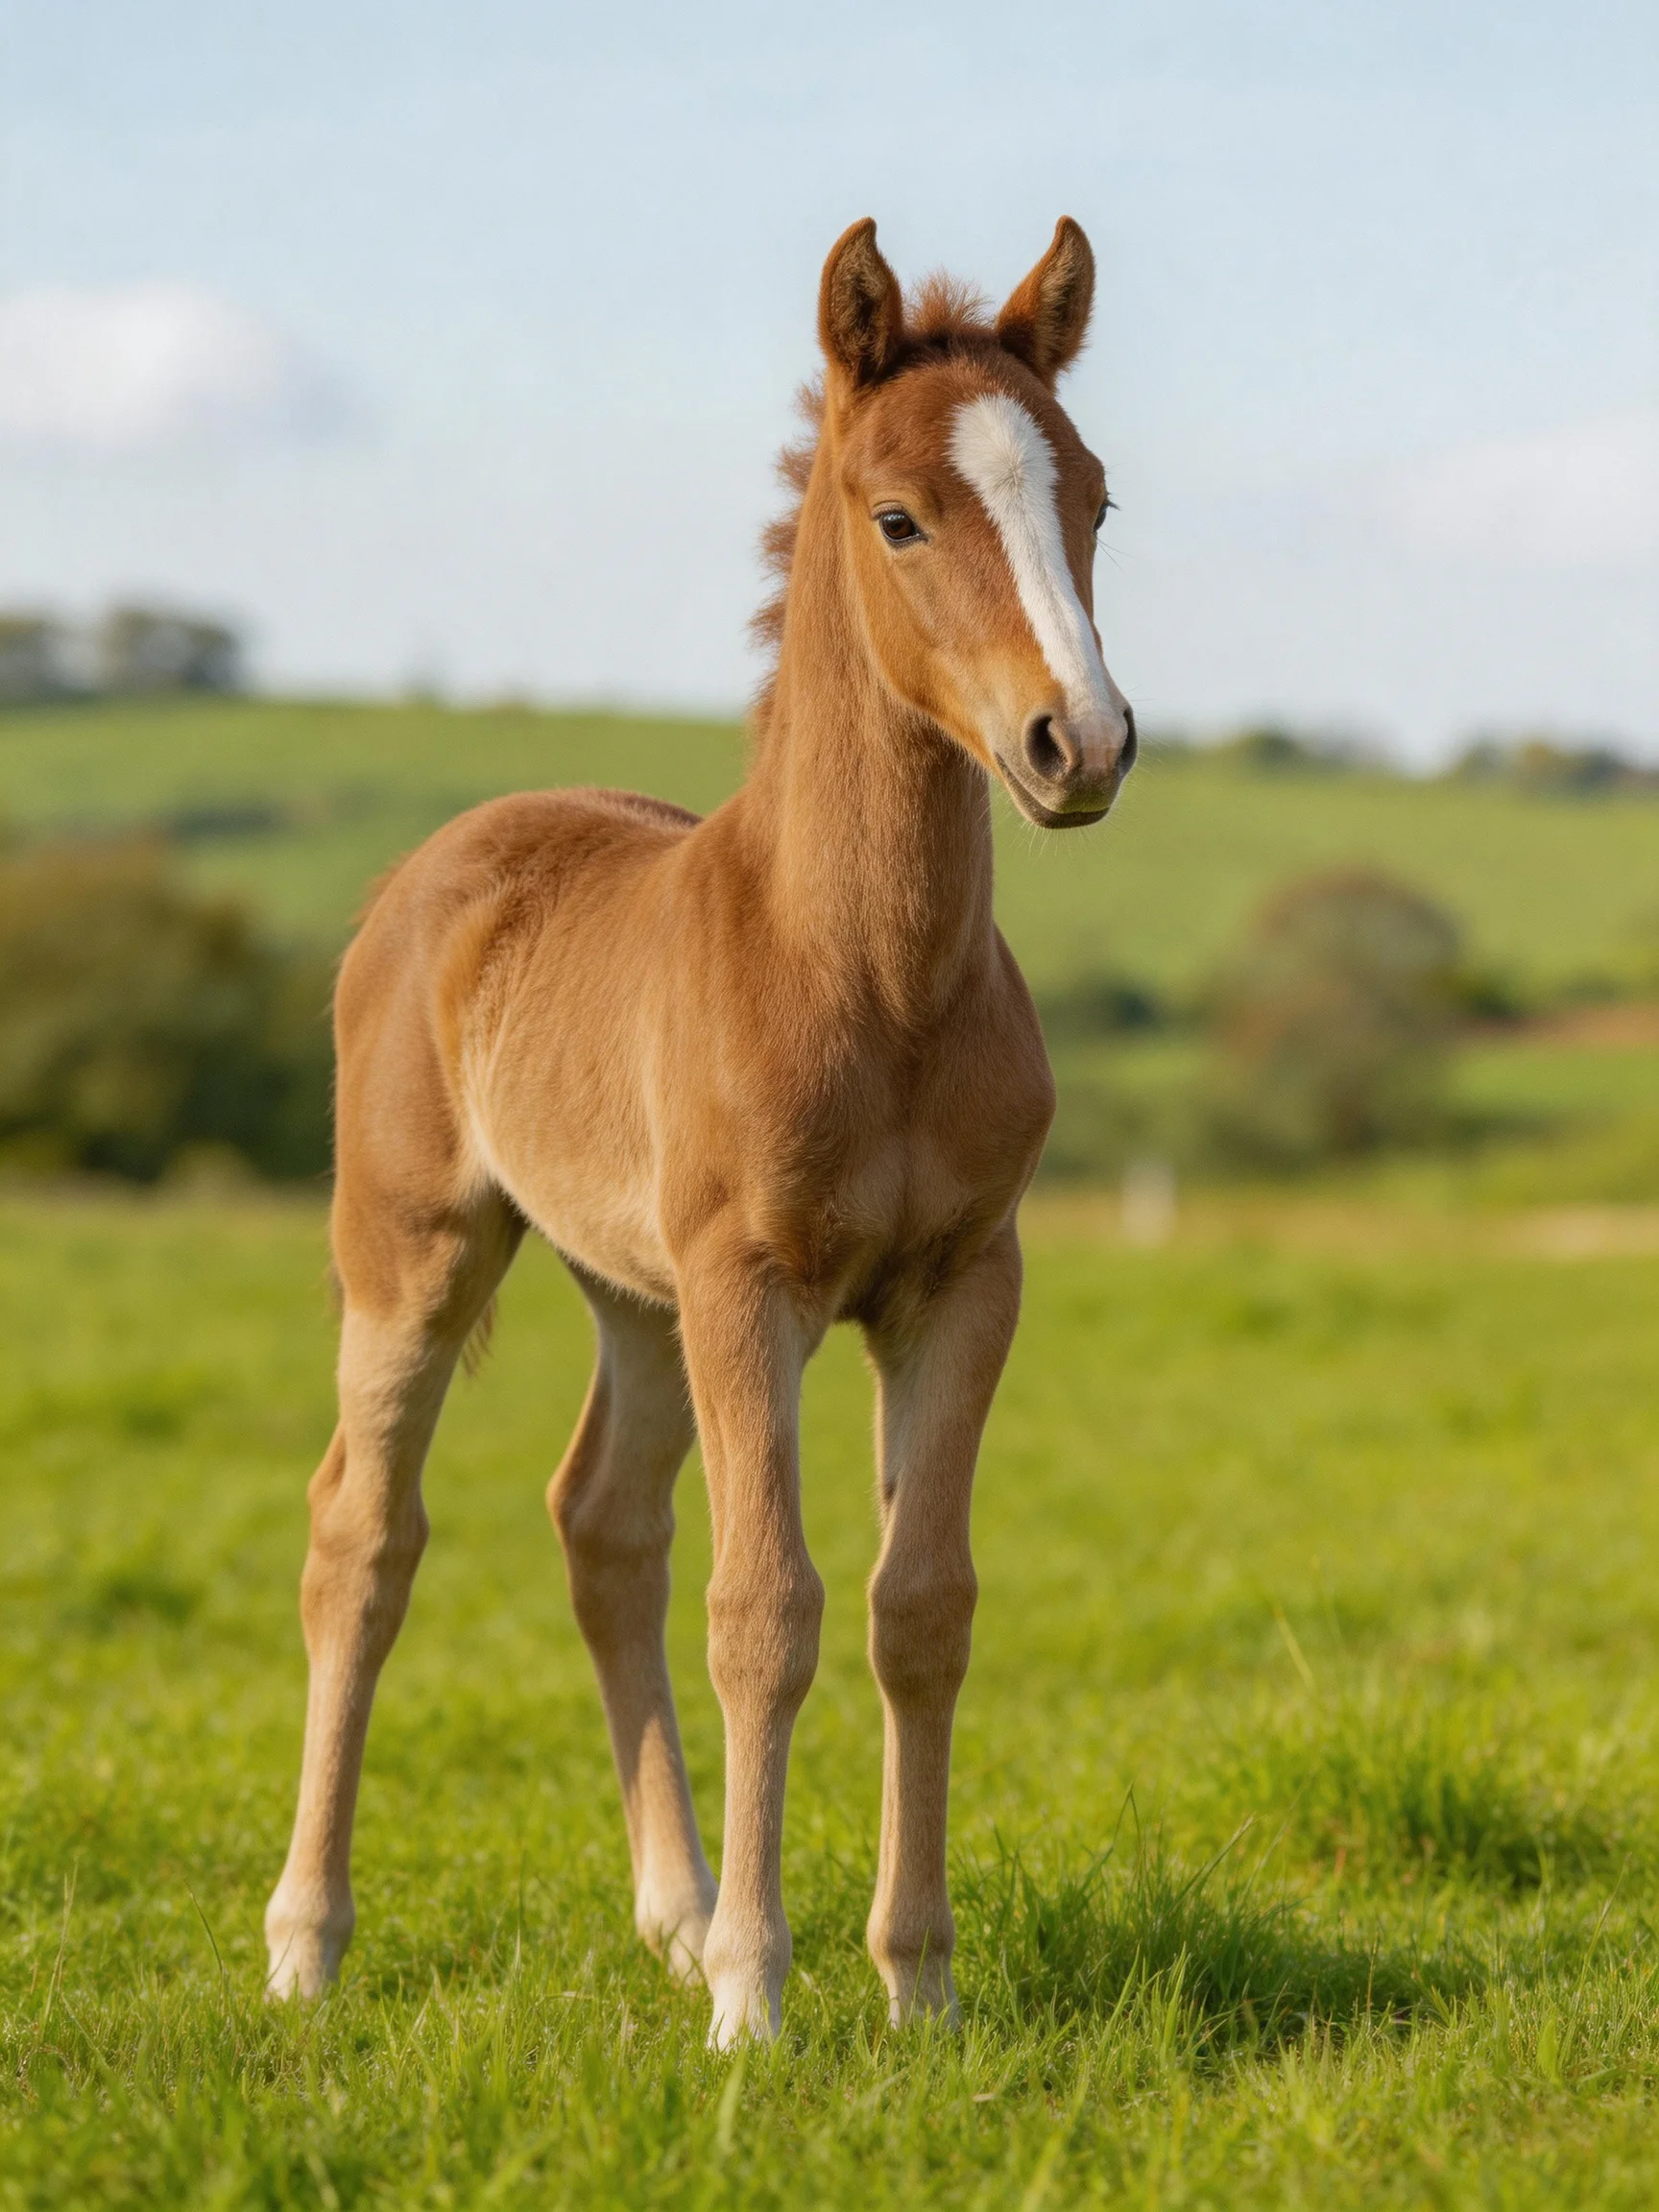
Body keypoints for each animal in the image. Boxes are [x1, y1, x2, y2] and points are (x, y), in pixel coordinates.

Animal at [264, 214, 1135, 2045]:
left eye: (1092, 497)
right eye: (899, 514)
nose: (1079, 741)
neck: (864, 972)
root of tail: (439, 864)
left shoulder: (963, 1282)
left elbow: (919, 1605)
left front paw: (919, 1986)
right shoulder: (754, 1286)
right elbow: (768, 1607)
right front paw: (756, 1996)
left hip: (635, 1296)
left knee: (603, 1525)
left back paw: (666, 1912)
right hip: (415, 1256)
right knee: (362, 1535)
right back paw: (307, 1942)